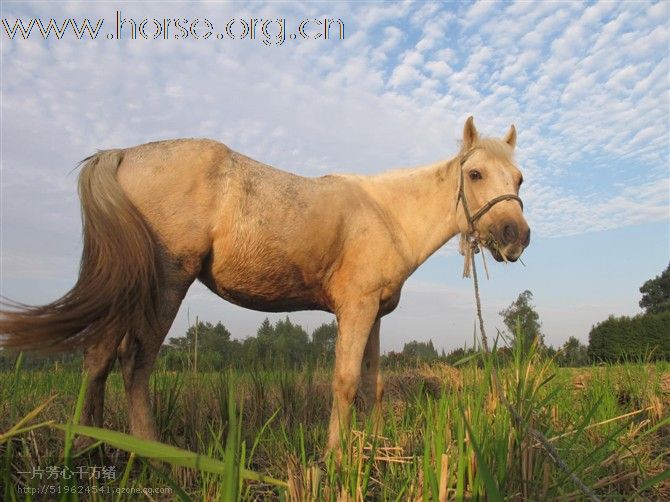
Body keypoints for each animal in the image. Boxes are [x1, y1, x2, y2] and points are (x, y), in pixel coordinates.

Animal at [2, 117, 532, 452]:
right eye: (474, 173)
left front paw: (376, 448)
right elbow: (343, 383)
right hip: (165, 286)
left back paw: (88, 448)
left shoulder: (374, 314)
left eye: (520, 179)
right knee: (134, 363)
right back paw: (154, 456)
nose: (516, 236)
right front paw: (334, 460)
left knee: (97, 359)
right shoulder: (355, 309)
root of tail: (122, 155)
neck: (386, 213)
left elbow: (372, 385)